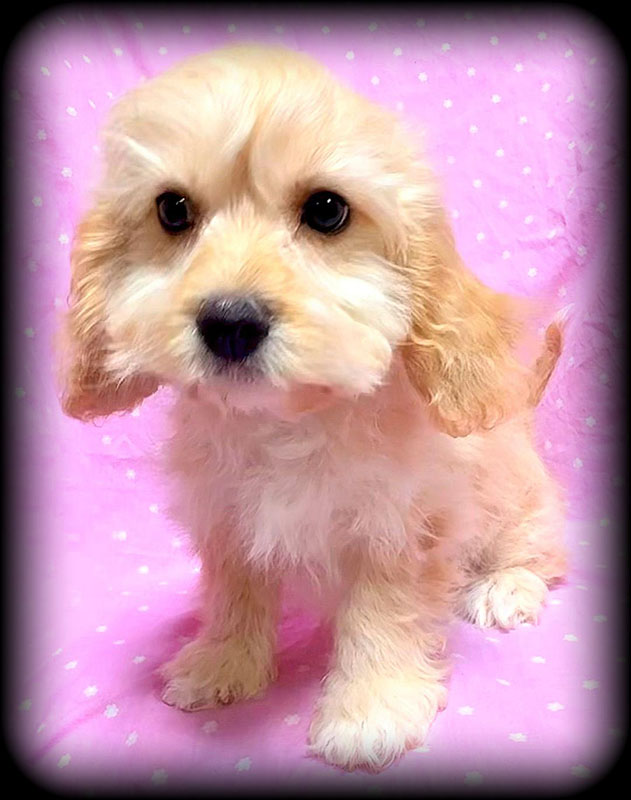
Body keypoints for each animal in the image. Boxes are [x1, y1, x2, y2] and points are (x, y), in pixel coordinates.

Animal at [59, 45, 567, 771]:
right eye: (172, 210)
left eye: (327, 210)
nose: (230, 323)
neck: (287, 422)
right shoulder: (228, 519)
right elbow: (234, 594)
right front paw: (224, 663)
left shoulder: (401, 528)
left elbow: (383, 615)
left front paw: (371, 709)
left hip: (518, 504)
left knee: (541, 550)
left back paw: (507, 585)